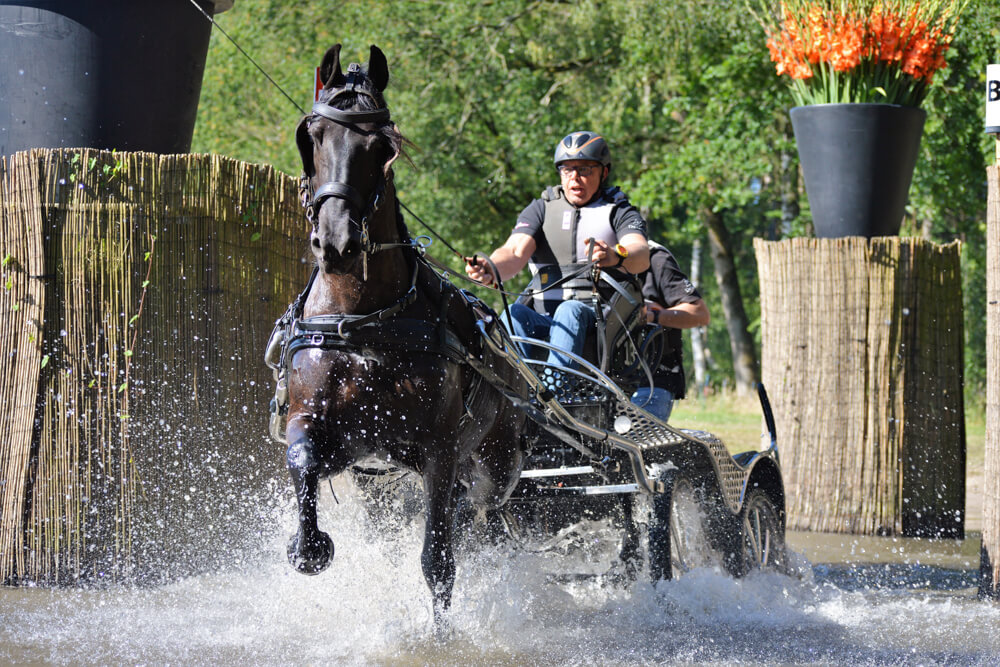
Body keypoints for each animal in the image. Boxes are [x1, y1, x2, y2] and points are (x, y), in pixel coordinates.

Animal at [282, 45, 528, 620]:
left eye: (381, 145)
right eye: (313, 135)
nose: (338, 242)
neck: (365, 322)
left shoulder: (438, 450)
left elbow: (438, 563)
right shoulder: (338, 437)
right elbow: (302, 458)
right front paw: (309, 547)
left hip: (496, 464)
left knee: (479, 506)